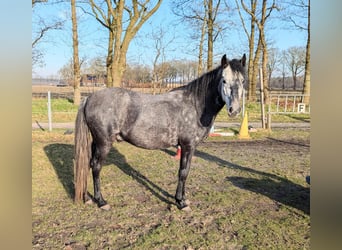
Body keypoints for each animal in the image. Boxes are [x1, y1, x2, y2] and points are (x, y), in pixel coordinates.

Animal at [74, 53, 246, 210]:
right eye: (224, 80)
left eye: (243, 81)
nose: (234, 110)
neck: (195, 105)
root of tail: (89, 98)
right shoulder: (187, 146)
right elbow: (183, 172)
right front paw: (180, 202)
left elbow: (185, 171)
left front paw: (183, 199)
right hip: (104, 143)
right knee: (96, 166)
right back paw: (101, 201)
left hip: (96, 142)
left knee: (89, 164)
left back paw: (87, 198)